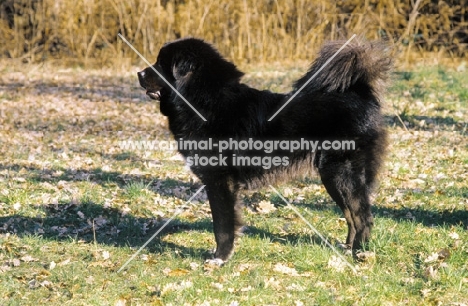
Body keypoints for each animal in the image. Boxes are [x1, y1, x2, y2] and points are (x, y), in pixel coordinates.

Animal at [138, 37, 392, 262]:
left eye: (160, 64)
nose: (139, 74)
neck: (204, 102)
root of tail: (361, 94)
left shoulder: (219, 181)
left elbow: (222, 225)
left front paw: (219, 258)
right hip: (333, 178)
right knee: (351, 216)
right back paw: (347, 248)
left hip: (341, 174)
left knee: (363, 217)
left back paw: (360, 255)